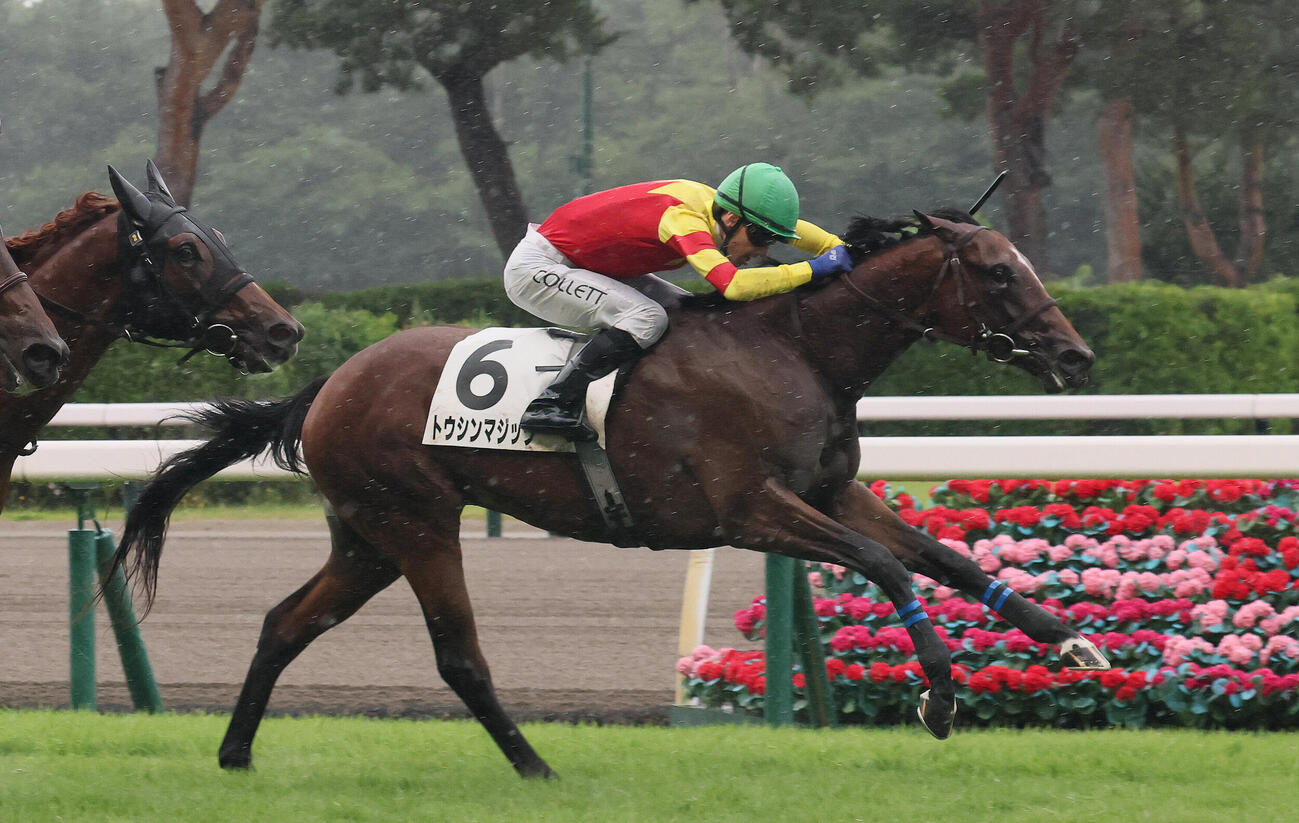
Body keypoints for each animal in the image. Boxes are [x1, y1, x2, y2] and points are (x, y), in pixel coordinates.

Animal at [113, 209, 1111, 778]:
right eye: (997, 271)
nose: (1075, 356)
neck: (791, 350)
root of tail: (328, 382)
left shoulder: (830, 491)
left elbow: (943, 557)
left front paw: (1069, 641)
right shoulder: (748, 508)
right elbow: (884, 566)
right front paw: (939, 696)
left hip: (366, 536)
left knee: (288, 621)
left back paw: (236, 753)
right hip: (417, 521)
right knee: (457, 655)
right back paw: (535, 767)